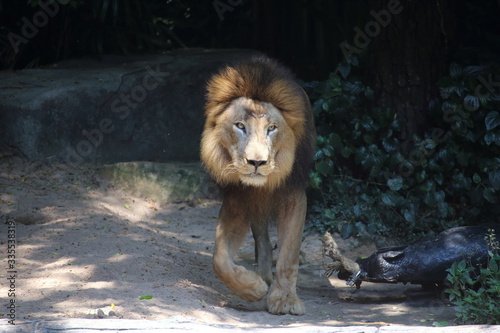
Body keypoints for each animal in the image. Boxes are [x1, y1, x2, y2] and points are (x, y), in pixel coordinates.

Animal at [200, 55, 314, 312]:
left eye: (272, 128)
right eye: (240, 126)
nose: (256, 162)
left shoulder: (293, 195)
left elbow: (289, 254)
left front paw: (284, 299)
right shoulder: (237, 200)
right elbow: (219, 259)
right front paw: (254, 289)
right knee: (261, 237)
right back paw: (262, 274)